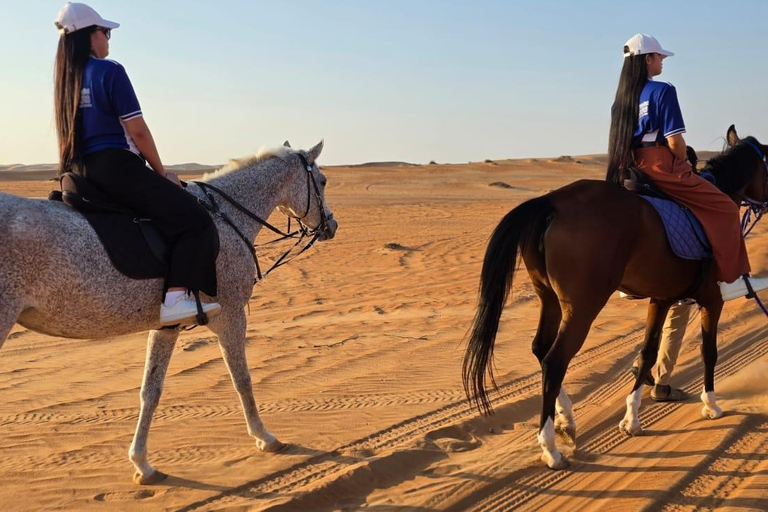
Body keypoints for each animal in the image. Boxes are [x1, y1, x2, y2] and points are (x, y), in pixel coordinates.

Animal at [0, 141, 337, 484]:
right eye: (322, 182)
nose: (332, 225)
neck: (226, 217)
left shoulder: (165, 326)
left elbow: (150, 391)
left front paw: (142, 463)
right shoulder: (230, 316)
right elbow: (241, 378)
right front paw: (265, 437)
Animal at [463, 125, 768, 470]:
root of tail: (550, 202)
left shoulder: (661, 299)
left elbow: (647, 353)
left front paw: (632, 419)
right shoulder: (712, 300)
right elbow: (709, 352)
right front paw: (711, 405)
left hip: (549, 299)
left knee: (541, 349)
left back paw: (567, 421)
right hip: (582, 307)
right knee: (555, 360)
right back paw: (551, 447)